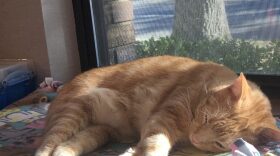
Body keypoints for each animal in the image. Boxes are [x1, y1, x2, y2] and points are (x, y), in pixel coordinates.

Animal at [35, 55, 280, 156]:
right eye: (206, 118)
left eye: (220, 144)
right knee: (47, 144)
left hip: (97, 132)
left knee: (66, 145)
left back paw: (63, 152)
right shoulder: (164, 117)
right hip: (73, 113)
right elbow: (155, 142)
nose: (195, 139)